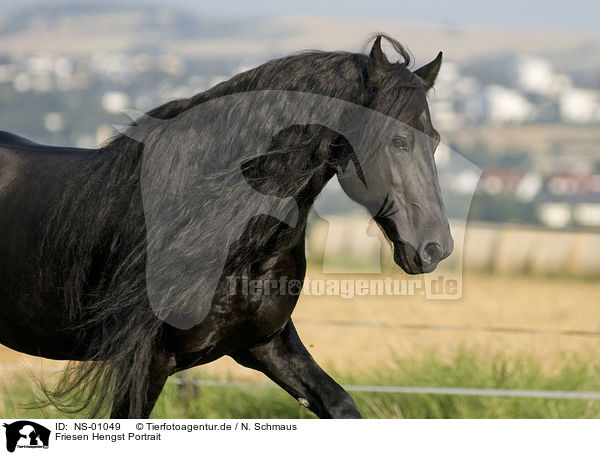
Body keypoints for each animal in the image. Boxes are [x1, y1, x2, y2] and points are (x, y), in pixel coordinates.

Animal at [0, 34, 450, 420]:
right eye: (397, 141)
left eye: (435, 139)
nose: (436, 248)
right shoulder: (146, 361)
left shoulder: (267, 343)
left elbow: (340, 404)